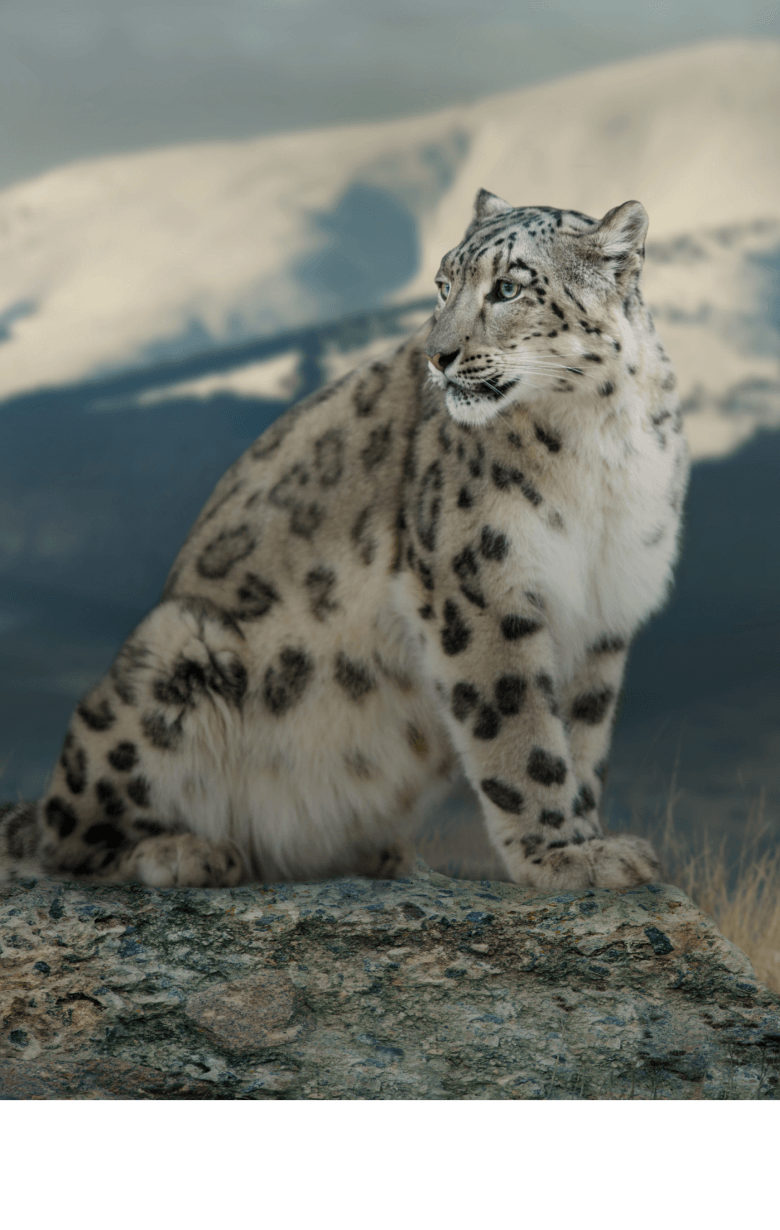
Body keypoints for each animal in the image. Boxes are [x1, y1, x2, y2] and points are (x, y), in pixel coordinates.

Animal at [0, 186, 684, 890]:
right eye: (444, 284)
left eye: (509, 288)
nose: (438, 355)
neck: (600, 446)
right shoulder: (478, 586)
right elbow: (519, 732)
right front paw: (562, 854)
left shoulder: (604, 610)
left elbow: (582, 737)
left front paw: (592, 839)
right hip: (173, 655)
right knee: (63, 839)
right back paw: (186, 852)